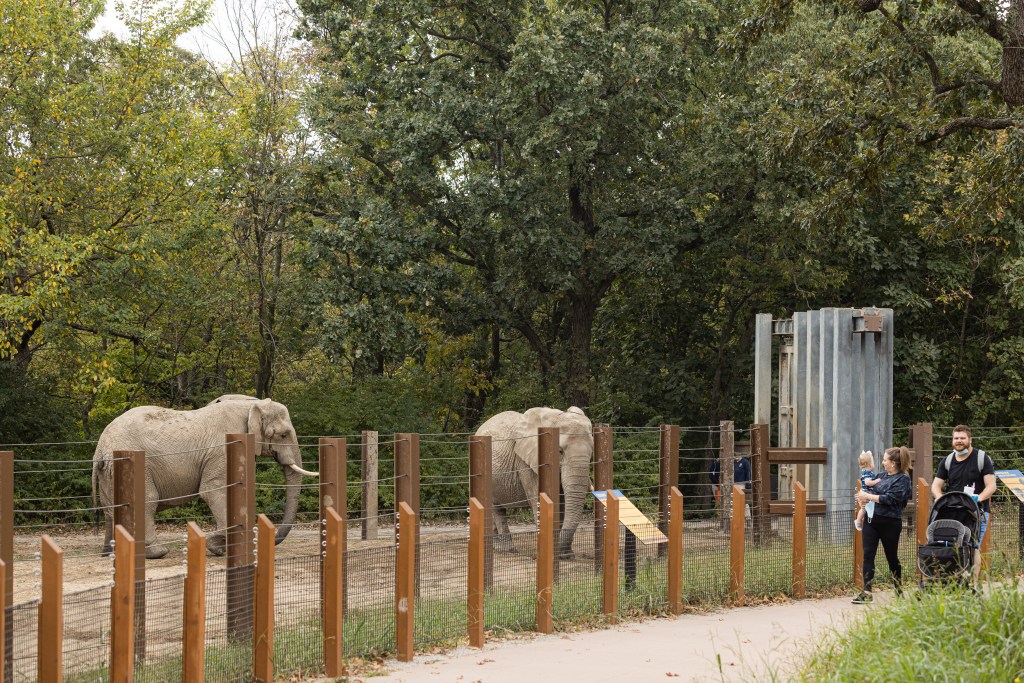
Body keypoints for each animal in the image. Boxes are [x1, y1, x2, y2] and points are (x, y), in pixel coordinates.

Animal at [91, 397, 318, 559]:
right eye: (283, 435)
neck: (253, 405)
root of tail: (100, 448)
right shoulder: (224, 447)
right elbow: (213, 490)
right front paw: (218, 546)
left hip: (109, 471)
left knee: (110, 508)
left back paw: (110, 553)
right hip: (132, 462)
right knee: (147, 500)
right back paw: (156, 553)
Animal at [474, 406, 594, 560]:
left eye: (591, 452)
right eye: (560, 451)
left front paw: (564, 555)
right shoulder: (526, 462)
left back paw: (497, 547)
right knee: (495, 508)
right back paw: (506, 549)